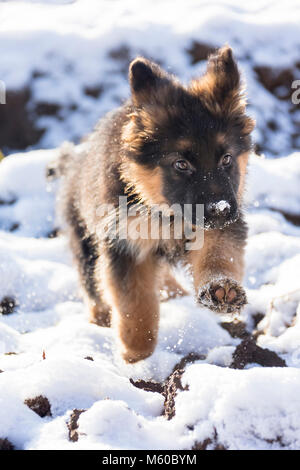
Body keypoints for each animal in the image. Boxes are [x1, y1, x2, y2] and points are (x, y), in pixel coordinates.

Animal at [55, 46, 254, 362]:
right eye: (181, 164)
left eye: (226, 159)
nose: (220, 210)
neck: (165, 212)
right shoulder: (125, 244)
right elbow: (135, 302)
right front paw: (136, 350)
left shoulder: (218, 229)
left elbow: (219, 256)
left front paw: (221, 289)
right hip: (85, 242)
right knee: (93, 287)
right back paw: (101, 319)